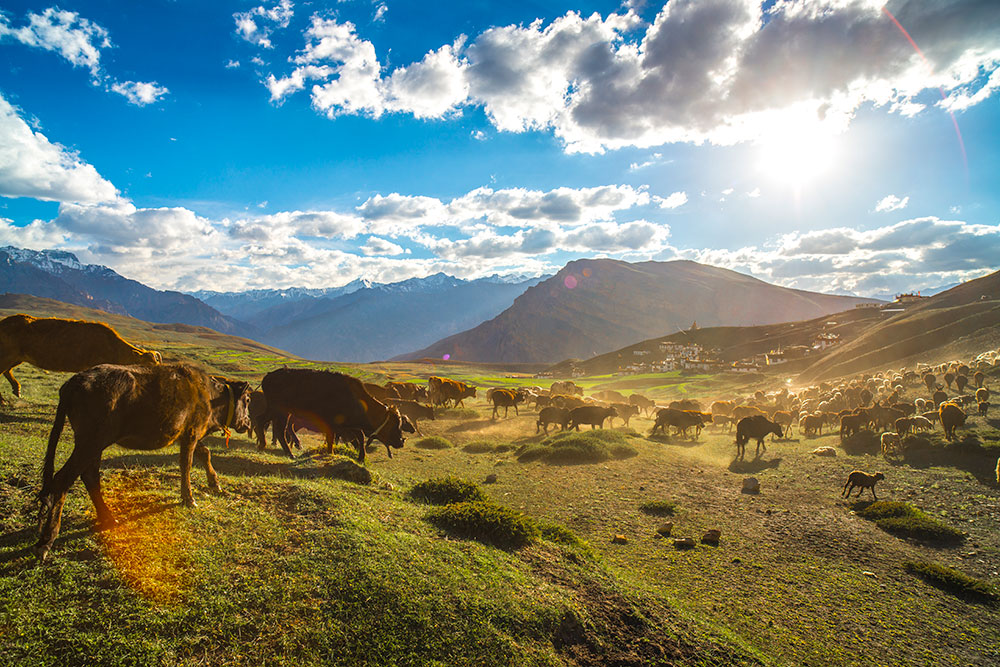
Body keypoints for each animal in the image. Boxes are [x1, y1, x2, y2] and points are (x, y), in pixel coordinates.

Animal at [0, 314, 160, 402]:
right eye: (147, 366)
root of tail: (4, 322)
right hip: (7, 355)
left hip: (16, 357)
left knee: (7, 371)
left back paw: (17, 390)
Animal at [33, 366, 252, 564]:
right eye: (248, 400)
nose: (248, 422)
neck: (210, 396)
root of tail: (72, 383)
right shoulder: (191, 433)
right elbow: (186, 464)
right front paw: (189, 498)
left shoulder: (186, 436)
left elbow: (205, 453)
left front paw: (215, 484)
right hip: (91, 441)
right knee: (63, 478)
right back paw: (46, 541)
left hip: (94, 444)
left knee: (89, 475)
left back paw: (108, 518)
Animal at [262, 366, 414, 464]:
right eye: (395, 424)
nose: (401, 442)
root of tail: (268, 376)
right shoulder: (333, 424)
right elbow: (333, 439)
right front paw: (331, 454)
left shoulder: (347, 425)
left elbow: (359, 437)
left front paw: (360, 457)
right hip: (281, 412)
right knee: (280, 430)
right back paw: (289, 452)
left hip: (275, 412)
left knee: (265, 424)